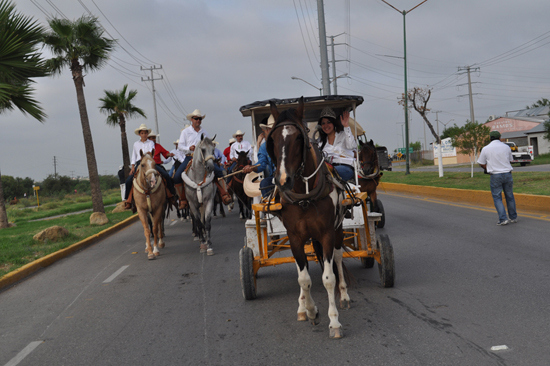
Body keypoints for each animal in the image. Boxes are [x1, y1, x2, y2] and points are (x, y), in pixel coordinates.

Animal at [268, 96, 354, 338]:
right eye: (273, 138)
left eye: (299, 136)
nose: (283, 180)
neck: (304, 195)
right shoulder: (295, 237)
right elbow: (303, 278)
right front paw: (311, 310)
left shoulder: (326, 234)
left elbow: (328, 278)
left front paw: (334, 321)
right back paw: (302, 306)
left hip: (337, 231)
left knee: (337, 259)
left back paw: (344, 296)